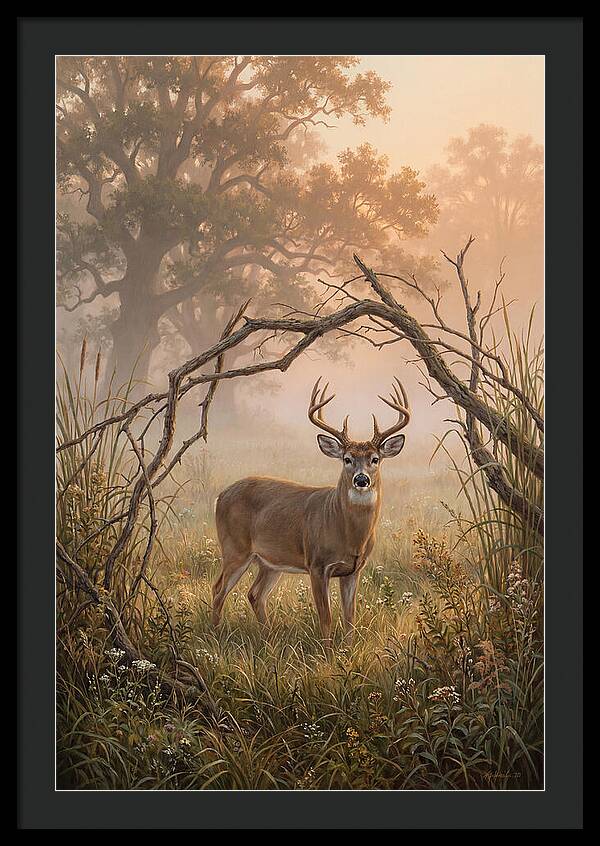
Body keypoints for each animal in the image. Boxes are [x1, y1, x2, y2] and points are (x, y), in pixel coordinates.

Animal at [212, 377, 410, 653]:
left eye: (375, 459)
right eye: (347, 459)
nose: (361, 480)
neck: (348, 533)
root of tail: (221, 496)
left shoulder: (354, 569)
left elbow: (350, 618)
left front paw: (348, 651)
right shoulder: (317, 564)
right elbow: (325, 617)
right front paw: (327, 655)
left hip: (269, 561)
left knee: (255, 594)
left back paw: (269, 641)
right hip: (235, 549)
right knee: (218, 589)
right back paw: (214, 636)